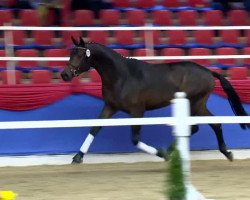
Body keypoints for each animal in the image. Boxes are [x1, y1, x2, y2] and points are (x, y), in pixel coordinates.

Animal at [61, 36, 250, 163]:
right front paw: (78, 157)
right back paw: (227, 153)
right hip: (199, 105)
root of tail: (209, 72)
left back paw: (171, 152)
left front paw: (161, 154)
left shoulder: (137, 111)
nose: (64, 75)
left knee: (196, 127)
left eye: (79, 55)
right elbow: (95, 128)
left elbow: (135, 138)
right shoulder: (110, 106)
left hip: (194, 104)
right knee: (213, 124)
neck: (122, 76)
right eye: (71, 53)